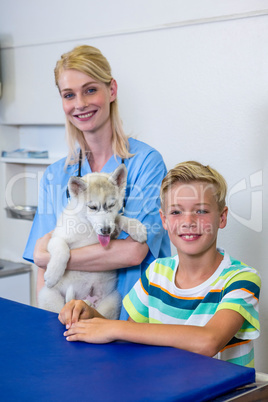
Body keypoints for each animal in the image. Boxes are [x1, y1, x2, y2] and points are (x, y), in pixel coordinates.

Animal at [38, 165, 147, 318]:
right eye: (92, 207)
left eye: (111, 205)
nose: (106, 230)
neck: (88, 229)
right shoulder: (55, 238)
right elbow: (62, 249)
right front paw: (53, 274)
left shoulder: (113, 230)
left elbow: (118, 218)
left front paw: (135, 227)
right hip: (48, 296)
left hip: (113, 300)